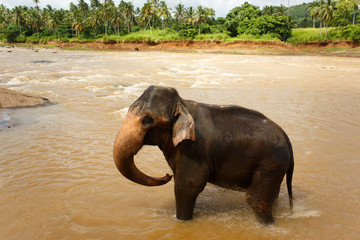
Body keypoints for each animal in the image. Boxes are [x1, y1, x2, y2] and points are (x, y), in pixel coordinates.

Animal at [114, 85, 294, 224]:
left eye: (148, 119)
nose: (166, 175)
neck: (182, 103)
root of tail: (286, 137)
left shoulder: (194, 149)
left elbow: (186, 186)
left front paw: (182, 221)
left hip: (270, 163)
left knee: (255, 199)